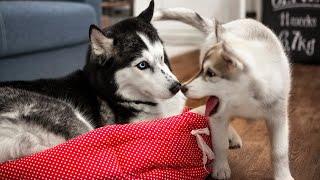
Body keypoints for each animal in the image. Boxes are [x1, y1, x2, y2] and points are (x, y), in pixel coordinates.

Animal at [154, 8, 294, 180]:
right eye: (201, 70)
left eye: (211, 74)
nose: (183, 87)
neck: (245, 97)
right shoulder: (218, 116)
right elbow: (219, 144)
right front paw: (220, 168)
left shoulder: (277, 116)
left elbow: (280, 151)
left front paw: (283, 176)